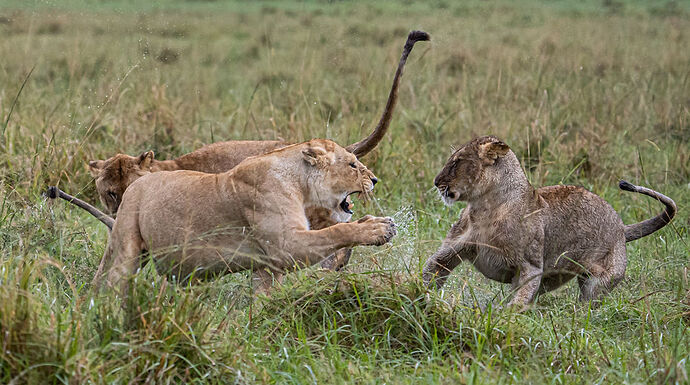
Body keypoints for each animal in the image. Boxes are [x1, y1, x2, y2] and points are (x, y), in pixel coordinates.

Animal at [97, 138, 398, 296]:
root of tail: (136, 184)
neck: (298, 182)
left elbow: (264, 298)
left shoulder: (267, 264)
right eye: (352, 164)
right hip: (126, 249)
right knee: (113, 283)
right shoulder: (286, 245)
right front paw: (378, 228)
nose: (374, 179)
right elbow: (335, 231)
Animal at [422, 136, 676, 308]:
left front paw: (504, 315)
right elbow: (431, 269)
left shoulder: (531, 266)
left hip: (598, 283)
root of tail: (622, 227)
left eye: (457, 162)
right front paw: (418, 296)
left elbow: (517, 300)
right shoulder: (452, 248)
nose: (435, 182)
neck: (485, 207)